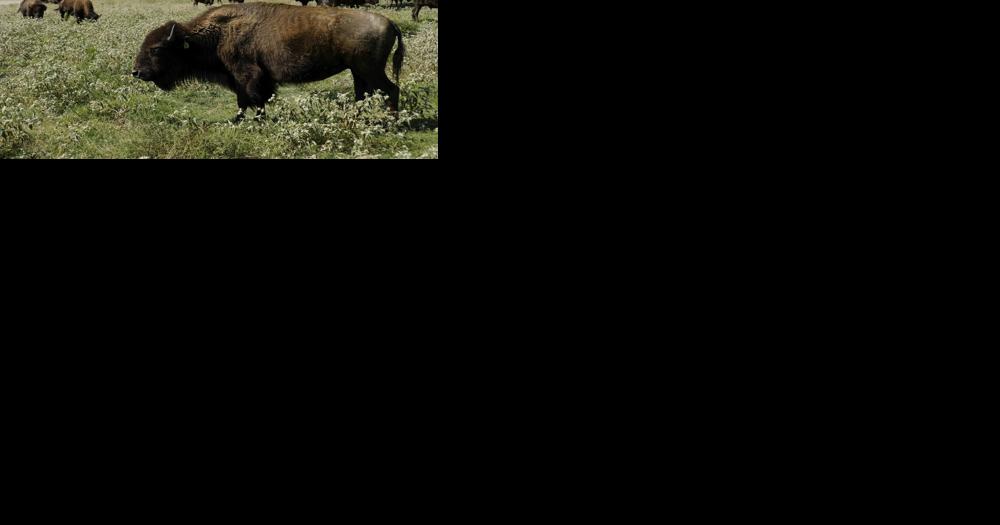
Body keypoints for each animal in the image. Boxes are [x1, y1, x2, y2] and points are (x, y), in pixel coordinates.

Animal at [133, 3, 405, 123]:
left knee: (391, 89)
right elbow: (244, 100)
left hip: (371, 70)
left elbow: (255, 98)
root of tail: (389, 22)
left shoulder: (248, 75)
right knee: (363, 94)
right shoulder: (241, 79)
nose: (136, 72)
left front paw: (256, 120)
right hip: (358, 71)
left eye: (156, 49)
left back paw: (391, 122)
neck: (218, 33)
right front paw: (239, 119)